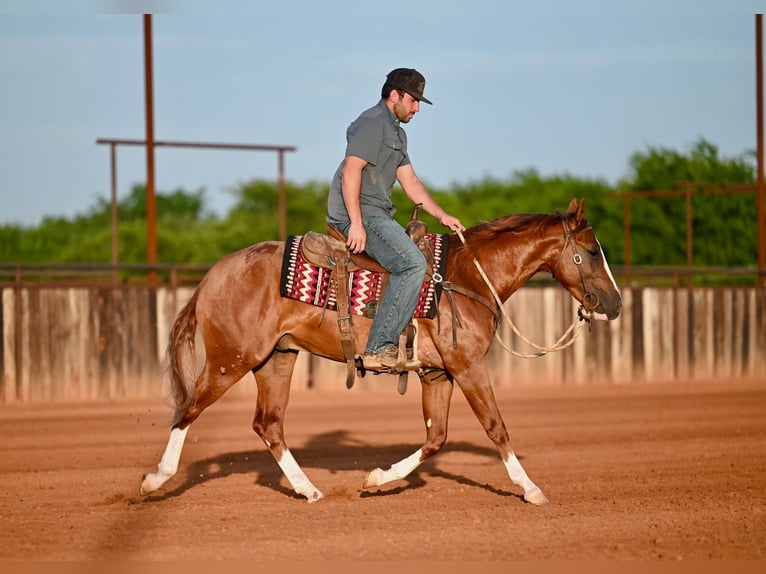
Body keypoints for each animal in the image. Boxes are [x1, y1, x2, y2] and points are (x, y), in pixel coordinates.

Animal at [140, 198, 622, 505]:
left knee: (268, 425)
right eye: (591, 252)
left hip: (275, 360)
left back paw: (308, 489)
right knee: (188, 411)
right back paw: (154, 480)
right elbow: (496, 427)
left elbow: (436, 437)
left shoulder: (437, 374)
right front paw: (532, 489)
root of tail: (212, 275)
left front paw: (377, 478)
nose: (615, 304)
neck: (465, 278)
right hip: (230, 360)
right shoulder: (468, 367)